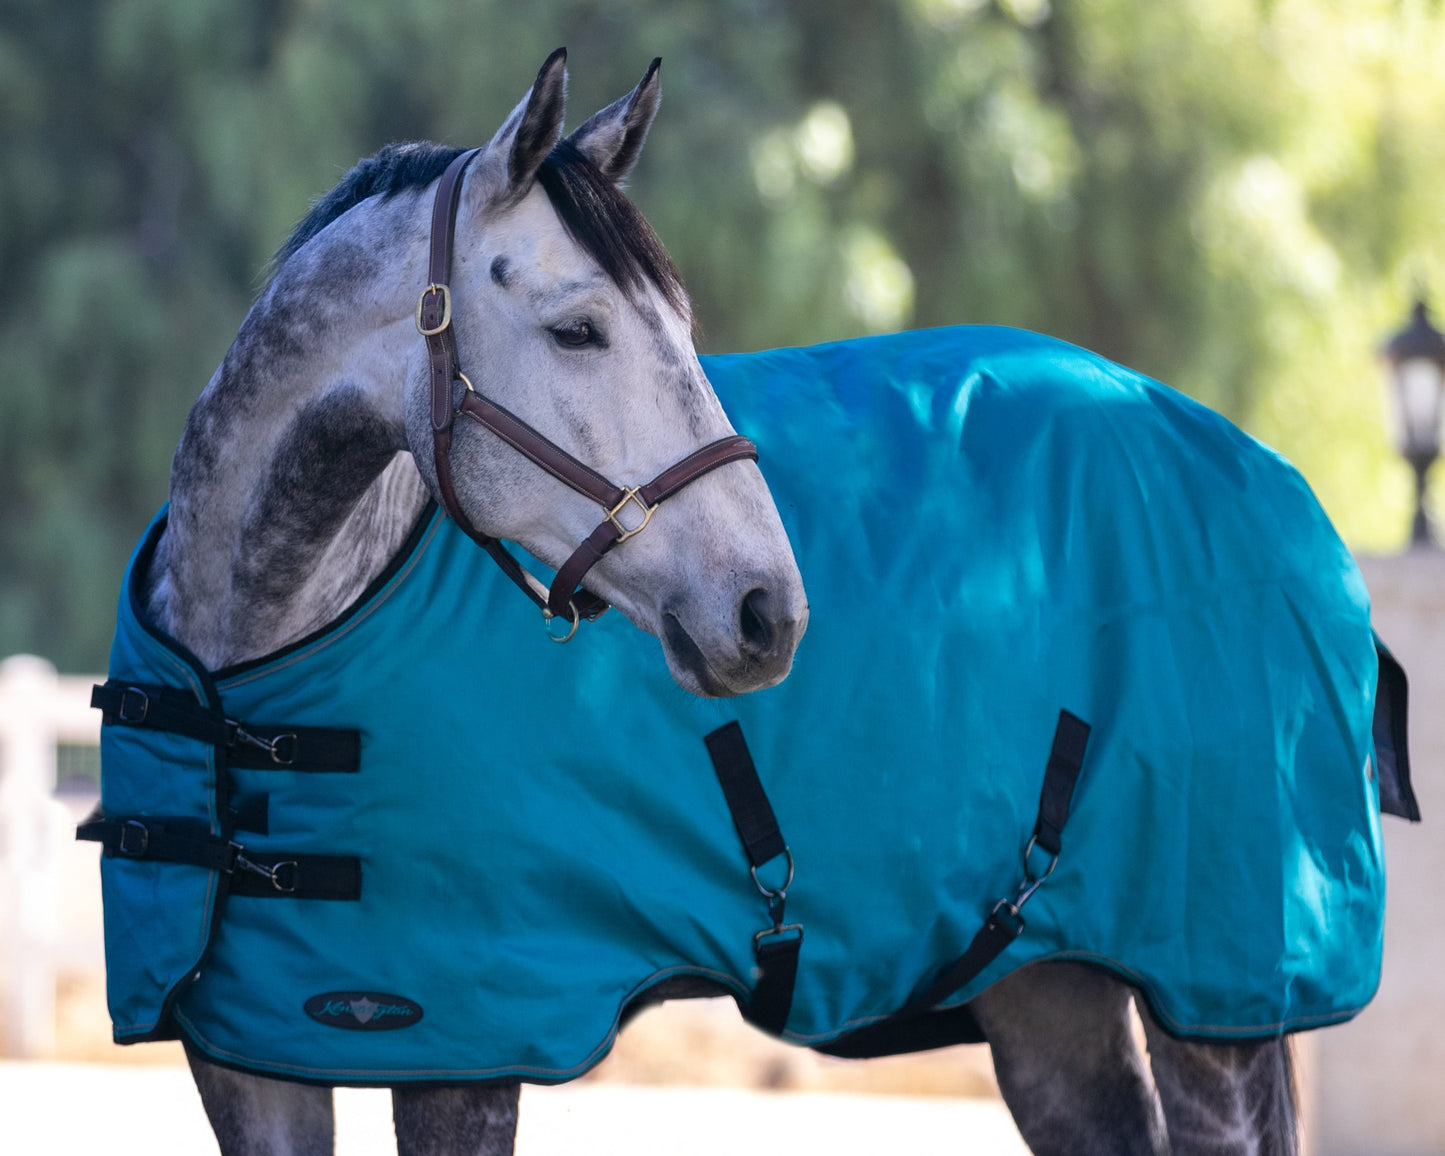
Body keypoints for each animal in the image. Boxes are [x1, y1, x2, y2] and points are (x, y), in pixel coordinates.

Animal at [121, 51, 1303, 1156]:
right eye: (577, 330)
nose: (766, 610)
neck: (259, 662)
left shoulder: (462, 1052)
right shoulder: (250, 1058)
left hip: (1210, 1009)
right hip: (1052, 994)